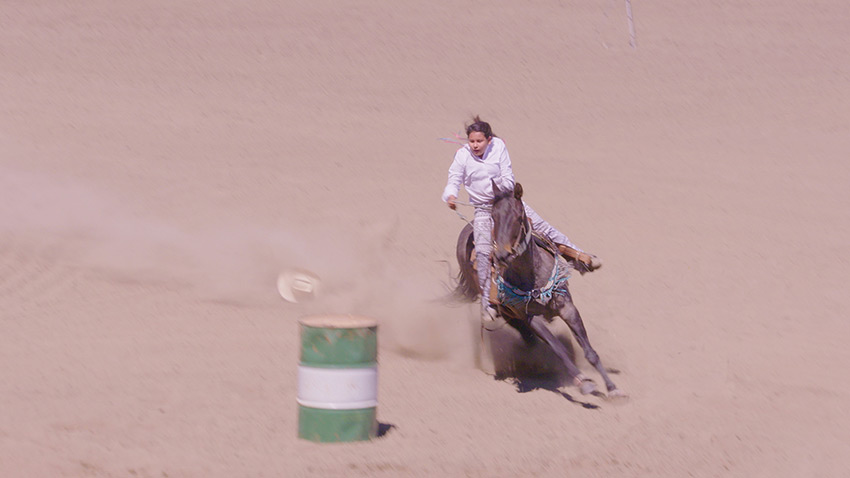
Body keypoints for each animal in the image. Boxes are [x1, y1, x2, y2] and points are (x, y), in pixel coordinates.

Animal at [450, 181, 624, 398]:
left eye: (518, 217)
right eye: (494, 218)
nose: (502, 255)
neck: (531, 276)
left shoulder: (568, 307)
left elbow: (590, 351)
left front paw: (612, 387)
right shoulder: (530, 317)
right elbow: (557, 347)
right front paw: (584, 381)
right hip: (509, 315)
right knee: (529, 338)